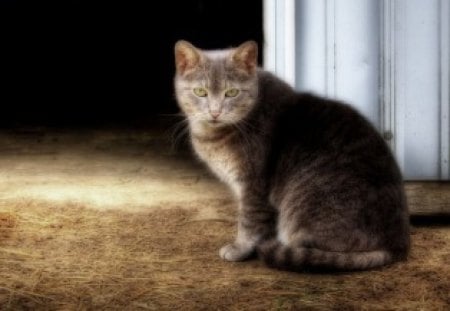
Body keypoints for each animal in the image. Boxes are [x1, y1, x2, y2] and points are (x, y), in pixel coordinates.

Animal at [173, 40, 412, 272]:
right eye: (200, 92)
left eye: (232, 92)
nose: (215, 112)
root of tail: (397, 245)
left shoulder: (253, 186)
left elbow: (249, 222)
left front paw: (239, 249)